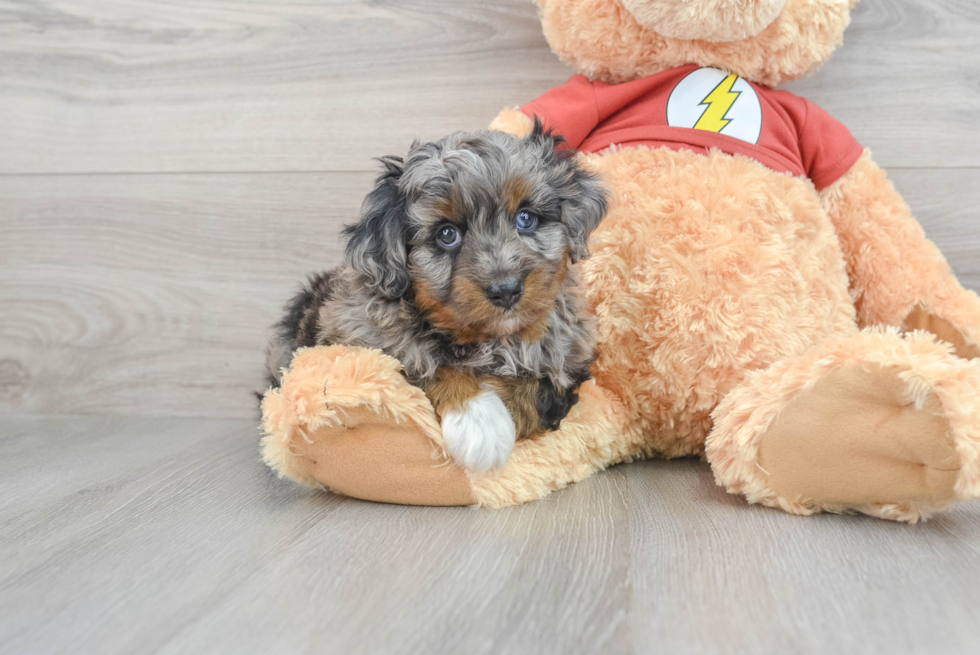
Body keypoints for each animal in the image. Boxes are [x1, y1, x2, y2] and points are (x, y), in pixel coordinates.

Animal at [264, 121, 608, 472]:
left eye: (526, 218)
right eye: (447, 234)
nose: (506, 290)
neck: (491, 338)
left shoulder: (571, 359)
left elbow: (540, 390)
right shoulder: (364, 342)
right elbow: (426, 364)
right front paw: (479, 423)